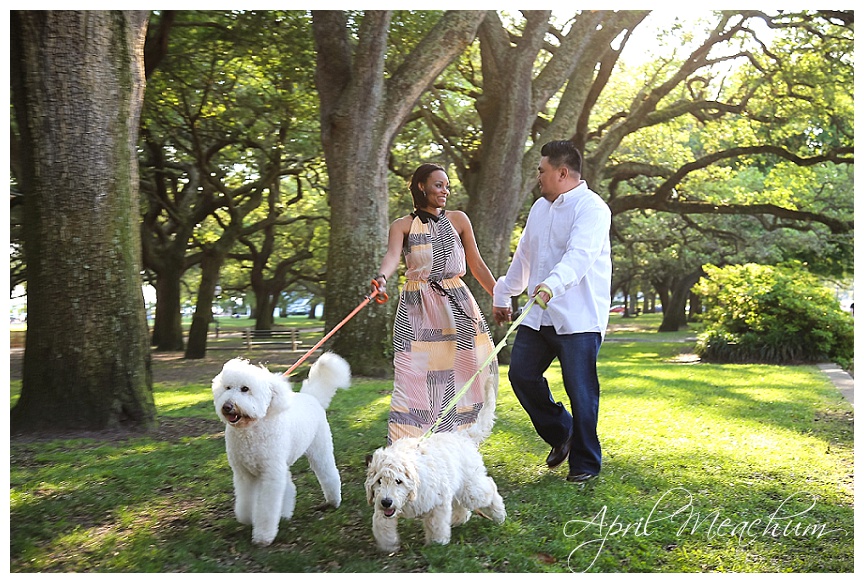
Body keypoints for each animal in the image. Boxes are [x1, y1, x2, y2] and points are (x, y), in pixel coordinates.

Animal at [213, 352, 352, 548]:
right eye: (227, 387)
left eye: (245, 389)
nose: (227, 406)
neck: (251, 429)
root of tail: (312, 397)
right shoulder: (245, 474)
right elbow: (246, 500)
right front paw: (247, 518)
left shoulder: (270, 474)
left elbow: (267, 508)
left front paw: (263, 536)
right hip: (282, 462)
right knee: (289, 486)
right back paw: (285, 513)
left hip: (319, 450)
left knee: (329, 474)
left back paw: (333, 501)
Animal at [364, 376, 506, 556]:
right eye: (379, 481)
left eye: (398, 481)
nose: (387, 502)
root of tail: (463, 436)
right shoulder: (382, 506)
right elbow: (381, 524)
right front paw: (388, 545)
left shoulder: (438, 502)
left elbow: (436, 524)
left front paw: (437, 544)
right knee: (460, 503)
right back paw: (459, 519)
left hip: (471, 487)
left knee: (489, 489)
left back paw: (499, 515)